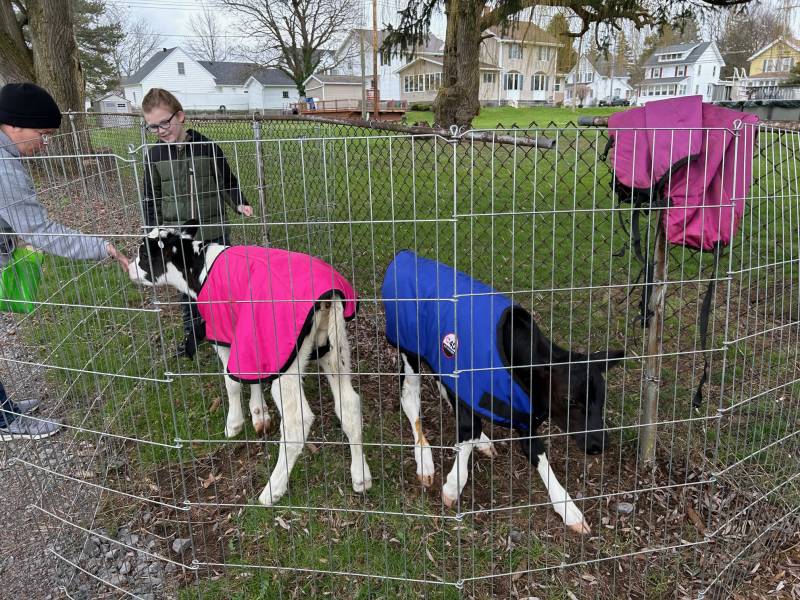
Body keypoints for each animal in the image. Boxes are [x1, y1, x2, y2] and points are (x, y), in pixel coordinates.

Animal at [127, 225, 372, 506]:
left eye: (143, 254)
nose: (128, 268)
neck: (198, 267)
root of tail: (330, 295)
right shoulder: (248, 336)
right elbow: (250, 376)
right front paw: (259, 414)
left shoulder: (224, 332)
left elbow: (231, 381)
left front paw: (234, 423)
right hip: (333, 348)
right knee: (349, 405)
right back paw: (360, 475)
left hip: (288, 360)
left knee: (297, 422)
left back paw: (273, 489)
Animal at [382, 250, 624, 536]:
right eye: (569, 400)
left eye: (602, 399)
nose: (600, 445)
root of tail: (405, 256)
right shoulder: (471, 388)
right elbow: (468, 431)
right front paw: (453, 486)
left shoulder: (525, 418)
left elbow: (539, 458)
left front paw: (569, 510)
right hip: (409, 348)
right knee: (410, 401)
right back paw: (425, 458)